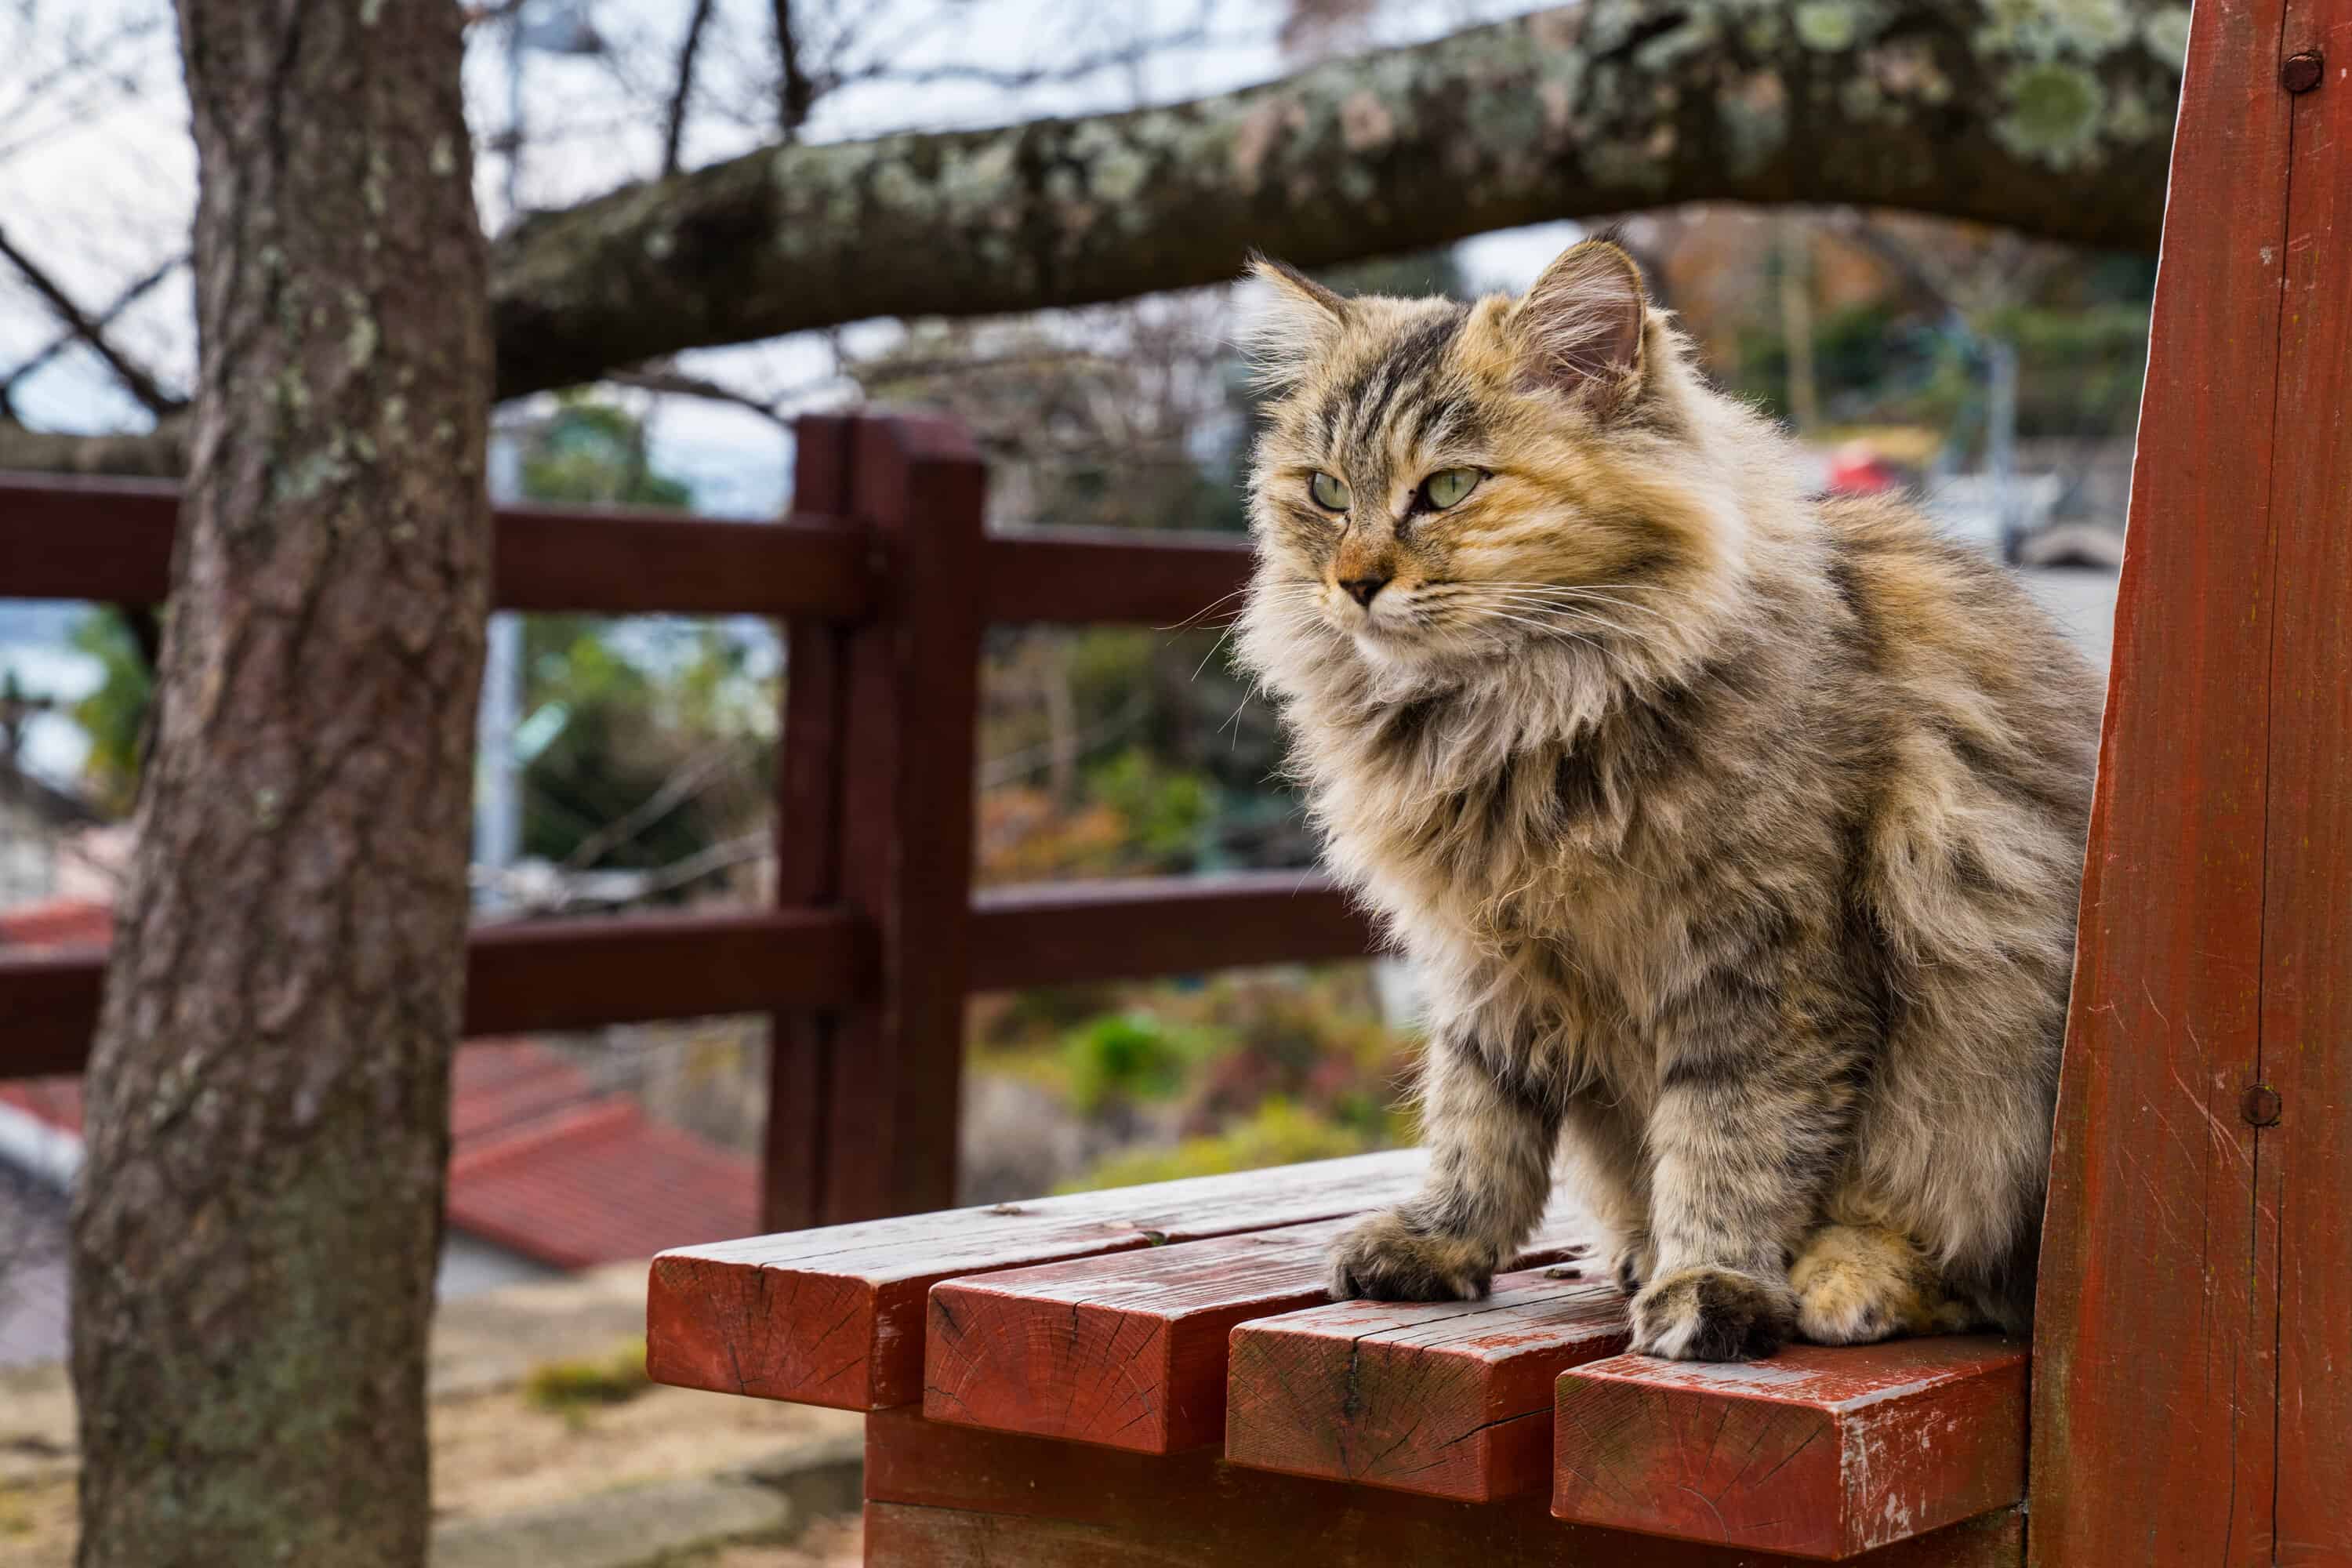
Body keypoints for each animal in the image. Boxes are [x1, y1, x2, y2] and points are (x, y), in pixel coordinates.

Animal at [1232, 236, 2098, 1363]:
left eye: (1450, 488)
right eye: (1327, 492)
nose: (1354, 582)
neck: (1519, 719)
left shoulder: (1761, 964)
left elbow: (1729, 1140)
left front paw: (1710, 1282)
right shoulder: (1483, 965)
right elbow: (1477, 1120)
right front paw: (1443, 1241)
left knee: (1966, 1269)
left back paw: (1839, 1279)